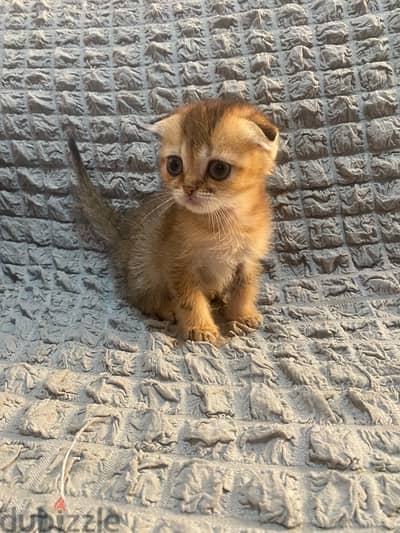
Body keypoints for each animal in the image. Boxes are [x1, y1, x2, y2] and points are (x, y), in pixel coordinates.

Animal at [69, 97, 280, 342]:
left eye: (219, 169)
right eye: (174, 165)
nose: (188, 188)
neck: (223, 222)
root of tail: (124, 235)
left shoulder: (248, 260)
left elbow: (244, 290)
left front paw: (241, 315)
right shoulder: (179, 264)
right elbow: (190, 299)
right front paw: (200, 328)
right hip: (144, 265)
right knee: (139, 297)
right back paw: (166, 308)